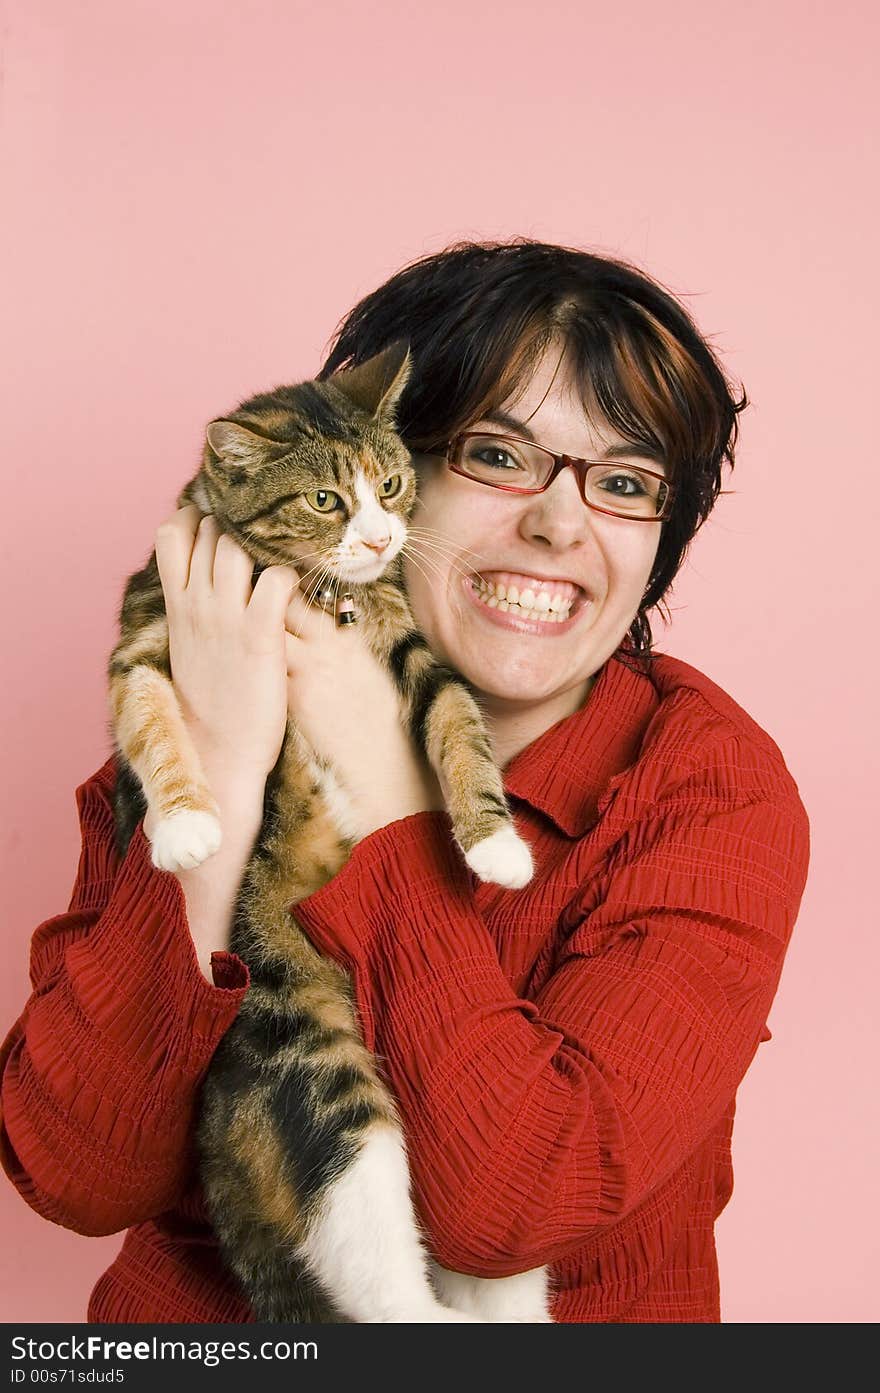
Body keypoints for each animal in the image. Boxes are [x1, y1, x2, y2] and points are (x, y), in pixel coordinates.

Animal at [108, 342, 551, 1320]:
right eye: (323, 499)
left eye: (390, 484)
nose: (383, 539)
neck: (311, 593)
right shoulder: (145, 632)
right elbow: (149, 716)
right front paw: (184, 825)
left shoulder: (412, 643)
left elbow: (458, 722)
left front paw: (494, 841)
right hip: (308, 1050)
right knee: (371, 1251)